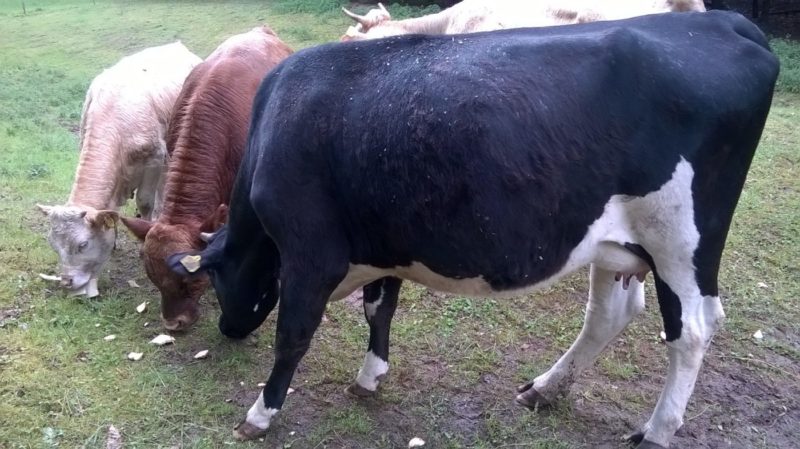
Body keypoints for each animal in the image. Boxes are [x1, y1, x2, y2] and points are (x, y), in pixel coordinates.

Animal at [167, 9, 776, 444]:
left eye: (214, 277)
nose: (227, 330)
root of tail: (728, 23)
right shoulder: (382, 243)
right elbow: (379, 308)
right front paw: (371, 376)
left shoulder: (310, 251)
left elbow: (293, 335)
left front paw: (260, 413)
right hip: (617, 243)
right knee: (611, 314)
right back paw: (546, 389)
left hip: (681, 241)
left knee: (692, 330)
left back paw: (656, 430)